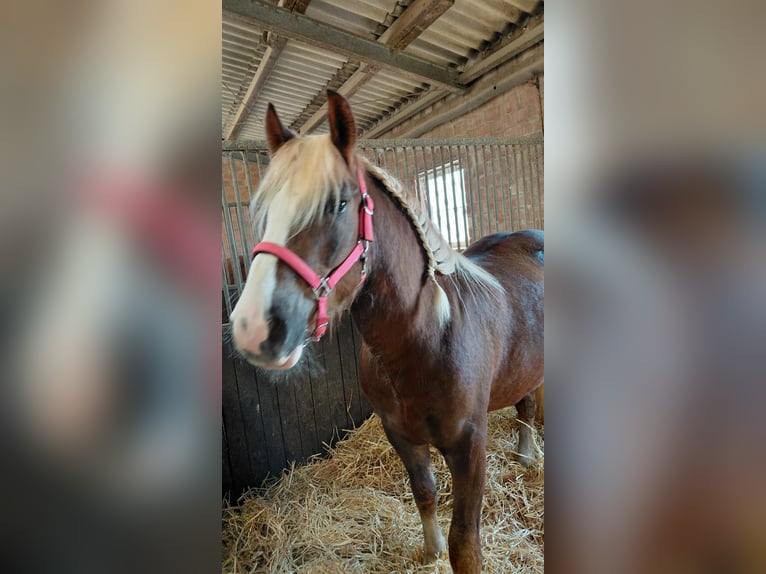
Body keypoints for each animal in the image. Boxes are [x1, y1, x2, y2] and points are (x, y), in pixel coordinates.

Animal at [230, 90, 544, 574]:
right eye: (263, 211)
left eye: (338, 204)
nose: (252, 328)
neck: (427, 340)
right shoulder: (401, 436)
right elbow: (425, 493)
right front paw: (429, 550)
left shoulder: (470, 446)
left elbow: (466, 544)